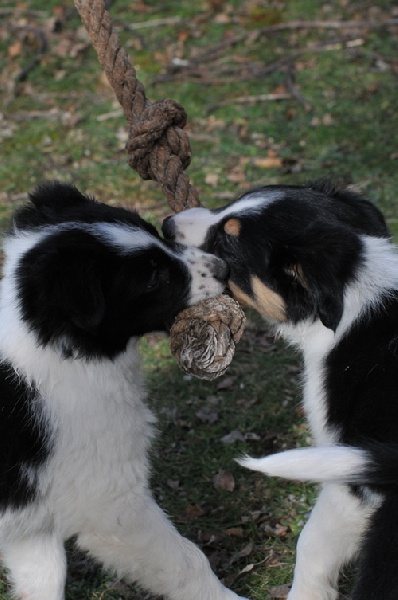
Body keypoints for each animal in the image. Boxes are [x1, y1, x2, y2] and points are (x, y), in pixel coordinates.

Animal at [0, 182, 249, 600]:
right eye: (151, 278)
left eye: (154, 232)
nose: (223, 268)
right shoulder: (111, 499)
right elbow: (187, 560)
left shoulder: (29, 515)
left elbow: (46, 575)